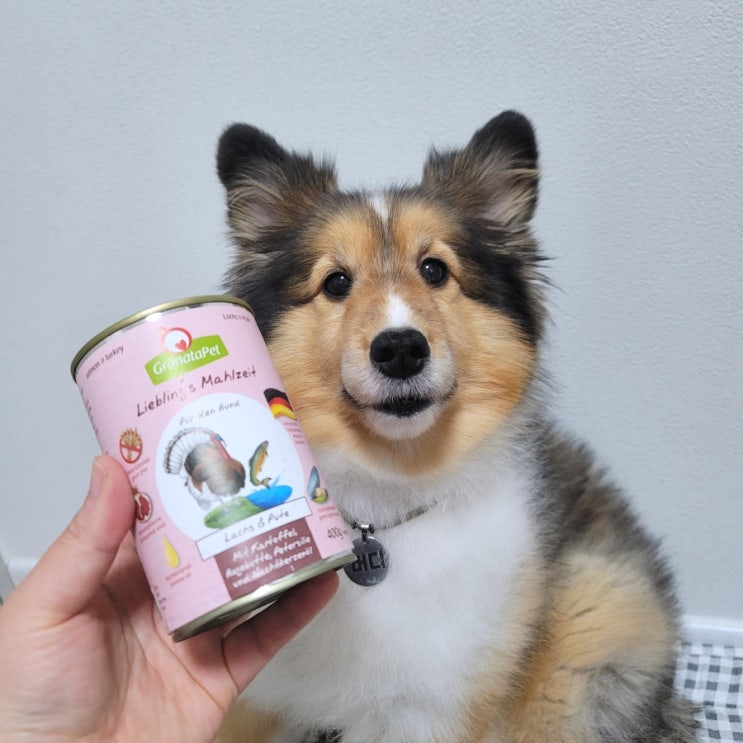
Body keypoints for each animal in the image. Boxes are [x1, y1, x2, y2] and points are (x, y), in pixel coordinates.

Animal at [213, 112, 697, 742]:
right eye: (337, 282)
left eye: (434, 270)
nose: (400, 349)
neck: (387, 501)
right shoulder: (255, 701)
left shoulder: (434, 713)